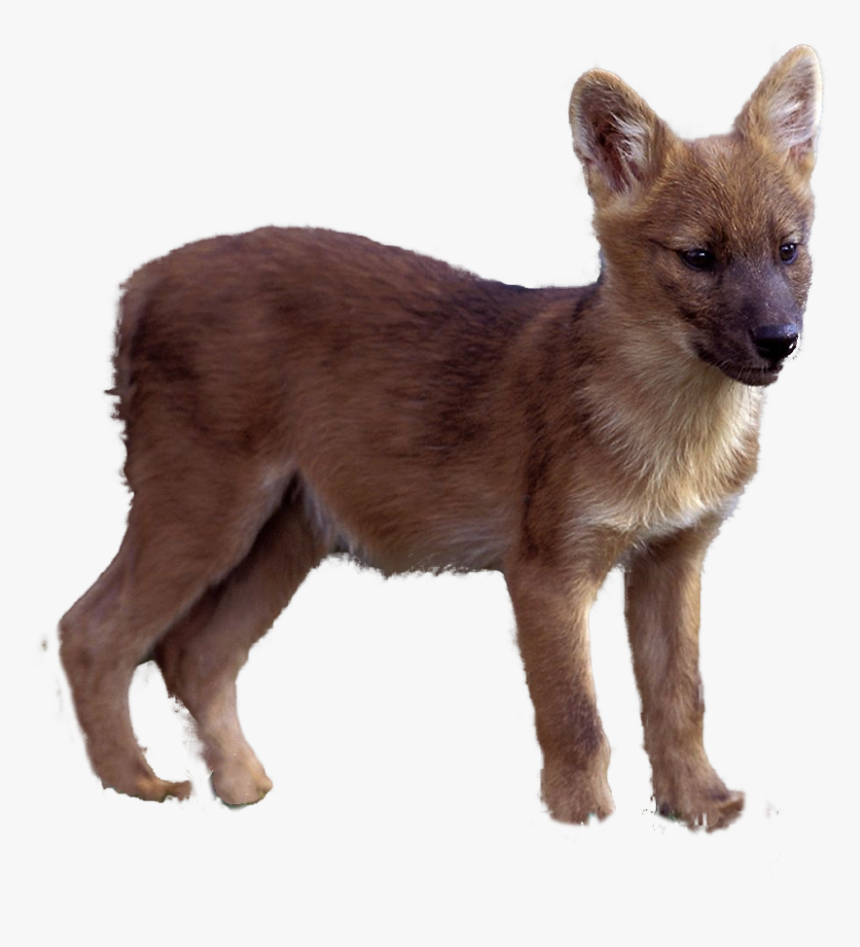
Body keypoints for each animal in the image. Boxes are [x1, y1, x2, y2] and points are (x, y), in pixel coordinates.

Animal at [60, 47, 820, 831]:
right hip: (206, 513)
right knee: (90, 632)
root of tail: (141, 281)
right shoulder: (547, 569)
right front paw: (585, 822)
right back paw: (137, 785)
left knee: (196, 654)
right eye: (698, 257)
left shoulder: (675, 556)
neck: (675, 431)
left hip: (284, 537)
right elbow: (576, 719)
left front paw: (698, 804)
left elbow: (680, 697)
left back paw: (241, 785)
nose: (780, 339)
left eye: (788, 250)